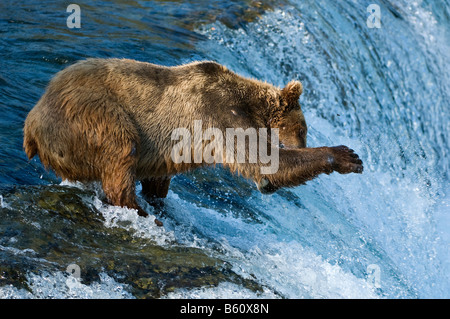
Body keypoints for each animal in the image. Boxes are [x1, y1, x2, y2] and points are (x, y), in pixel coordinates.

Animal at [22, 59, 364, 225]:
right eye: (304, 130)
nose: (303, 142)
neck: (252, 106)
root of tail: (31, 121)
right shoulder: (221, 112)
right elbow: (262, 162)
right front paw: (347, 156)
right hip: (90, 113)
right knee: (120, 148)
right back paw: (138, 211)